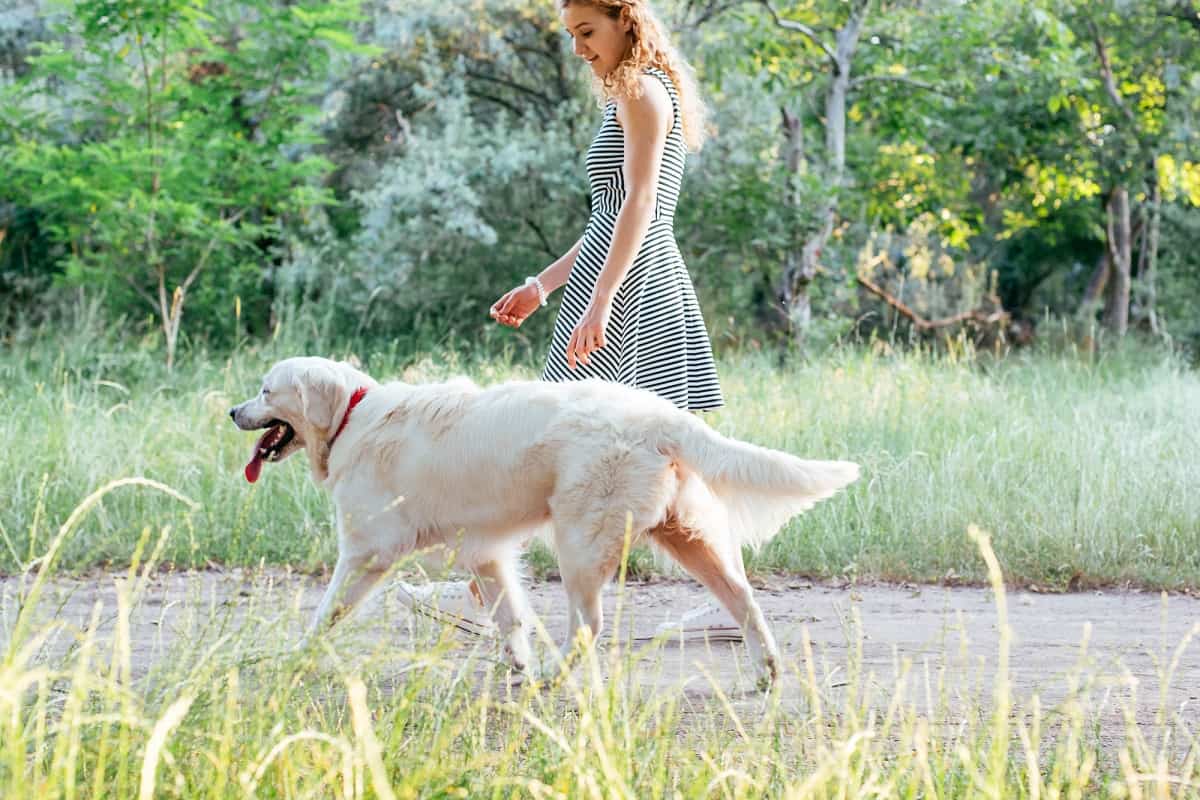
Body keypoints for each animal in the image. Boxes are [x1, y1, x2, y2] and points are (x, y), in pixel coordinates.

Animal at [229, 359, 859, 686]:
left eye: (265, 390)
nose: (233, 411)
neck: (352, 417)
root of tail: (662, 417)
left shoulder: (365, 550)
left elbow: (326, 610)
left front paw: (293, 656)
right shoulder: (485, 552)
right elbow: (509, 615)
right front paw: (516, 661)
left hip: (579, 540)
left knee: (588, 625)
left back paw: (555, 676)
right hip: (687, 535)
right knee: (744, 599)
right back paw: (766, 671)